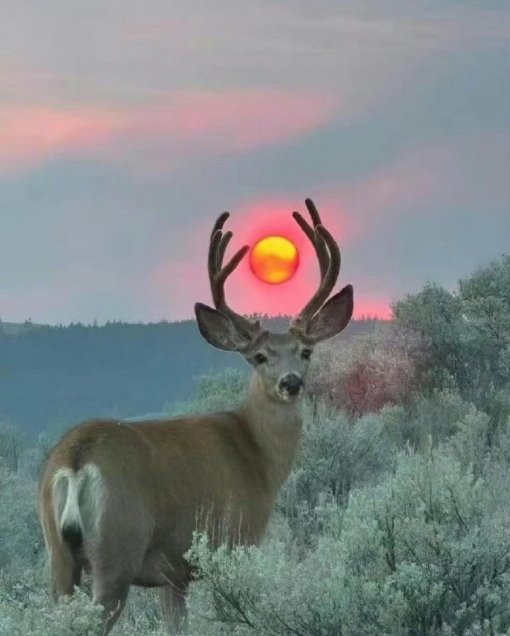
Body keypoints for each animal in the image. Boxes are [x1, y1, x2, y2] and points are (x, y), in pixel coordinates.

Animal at [37, 198, 352, 632]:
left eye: (305, 352)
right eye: (259, 357)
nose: (291, 382)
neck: (256, 455)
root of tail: (75, 460)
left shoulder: (172, 574)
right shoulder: (232, 543)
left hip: (58, 556)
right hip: (116, 552)